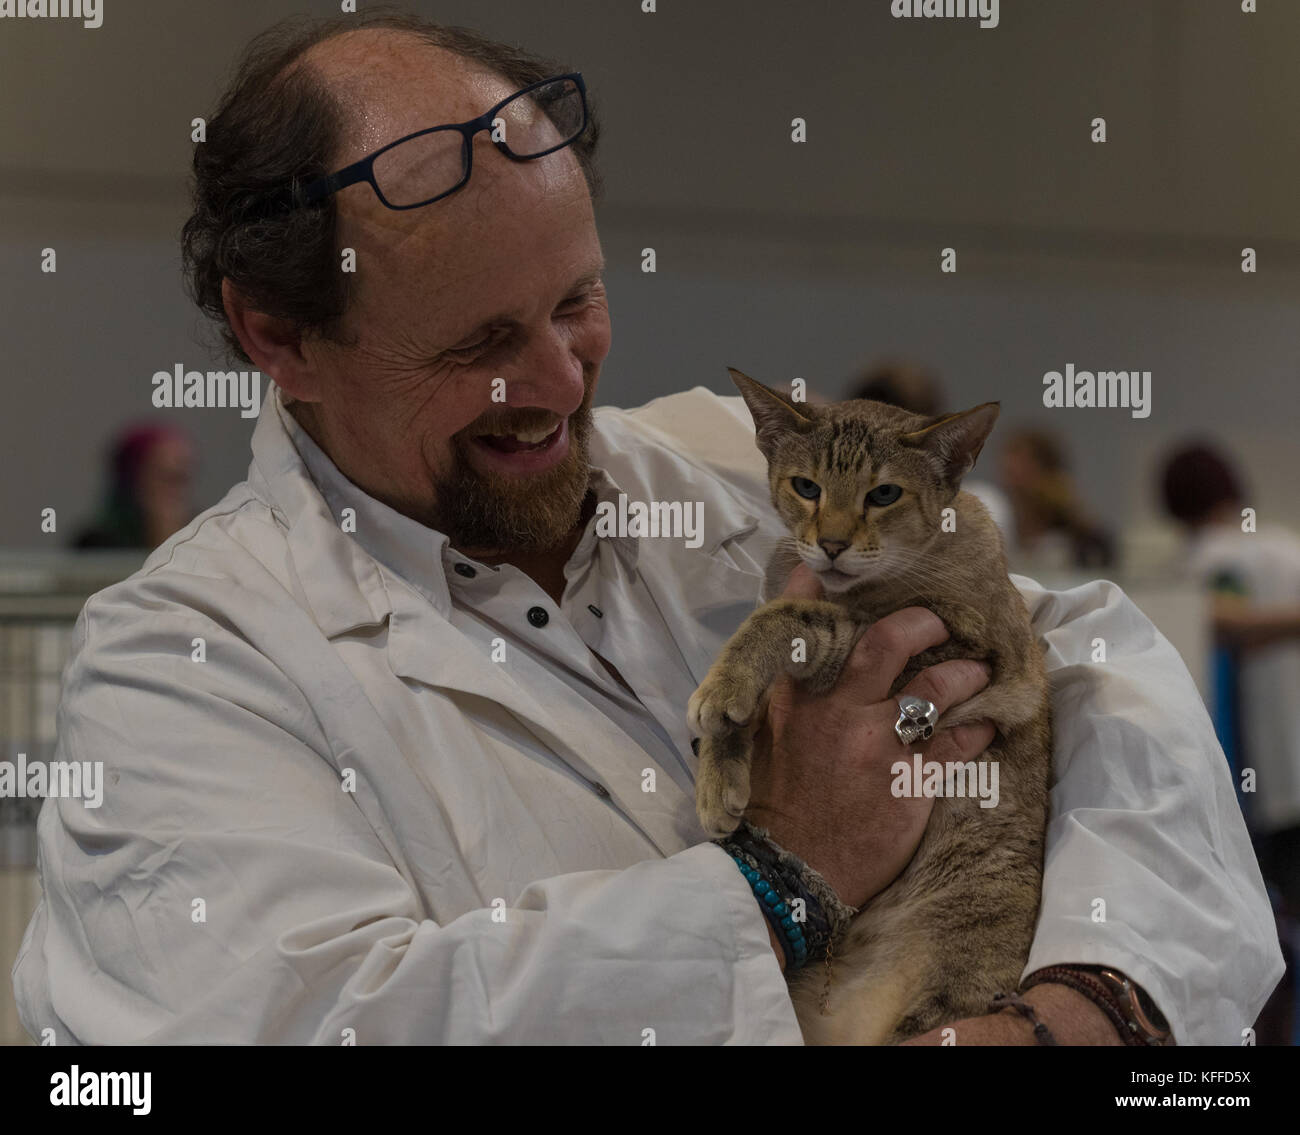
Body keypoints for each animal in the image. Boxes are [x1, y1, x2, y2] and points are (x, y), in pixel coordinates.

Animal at [686, 366, 1050, 1040]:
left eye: (884, 495)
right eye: (806, 487)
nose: (830, 544)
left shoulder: (964, 648)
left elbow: (795, 616)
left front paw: (723, 687)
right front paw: (718, 776)